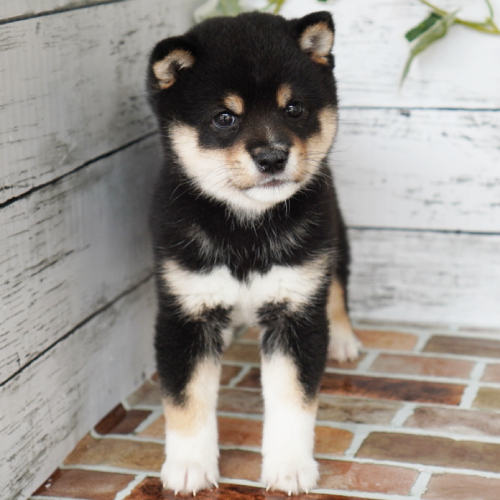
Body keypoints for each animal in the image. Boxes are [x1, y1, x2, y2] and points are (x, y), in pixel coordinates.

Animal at [146, 9, 362, 494]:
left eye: (294, 109)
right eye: (224, 117)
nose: (272, 157)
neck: (245, 230)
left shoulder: (295, 311)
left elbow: (292, 401)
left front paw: (290, 467)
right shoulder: (184, 313)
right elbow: (186, 401)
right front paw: (188, 466)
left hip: (333, 235)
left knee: (338, 286)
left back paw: (343, 337)